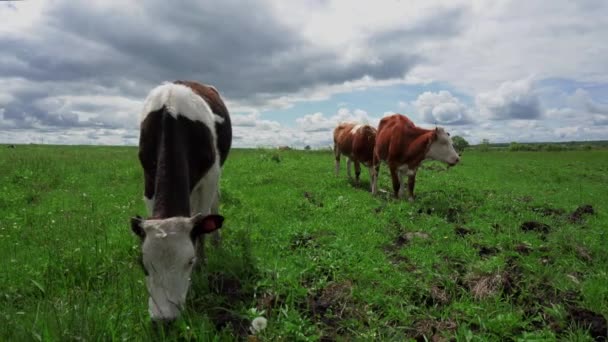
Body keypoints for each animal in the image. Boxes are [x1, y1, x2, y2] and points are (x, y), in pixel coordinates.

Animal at [129, 81, 232, 322]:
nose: (164, 320)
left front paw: (203, 266)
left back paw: (217, 240)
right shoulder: (148, 180)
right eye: (143, 266)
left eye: (189, 262)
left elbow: (202, 226)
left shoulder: (210, 178)